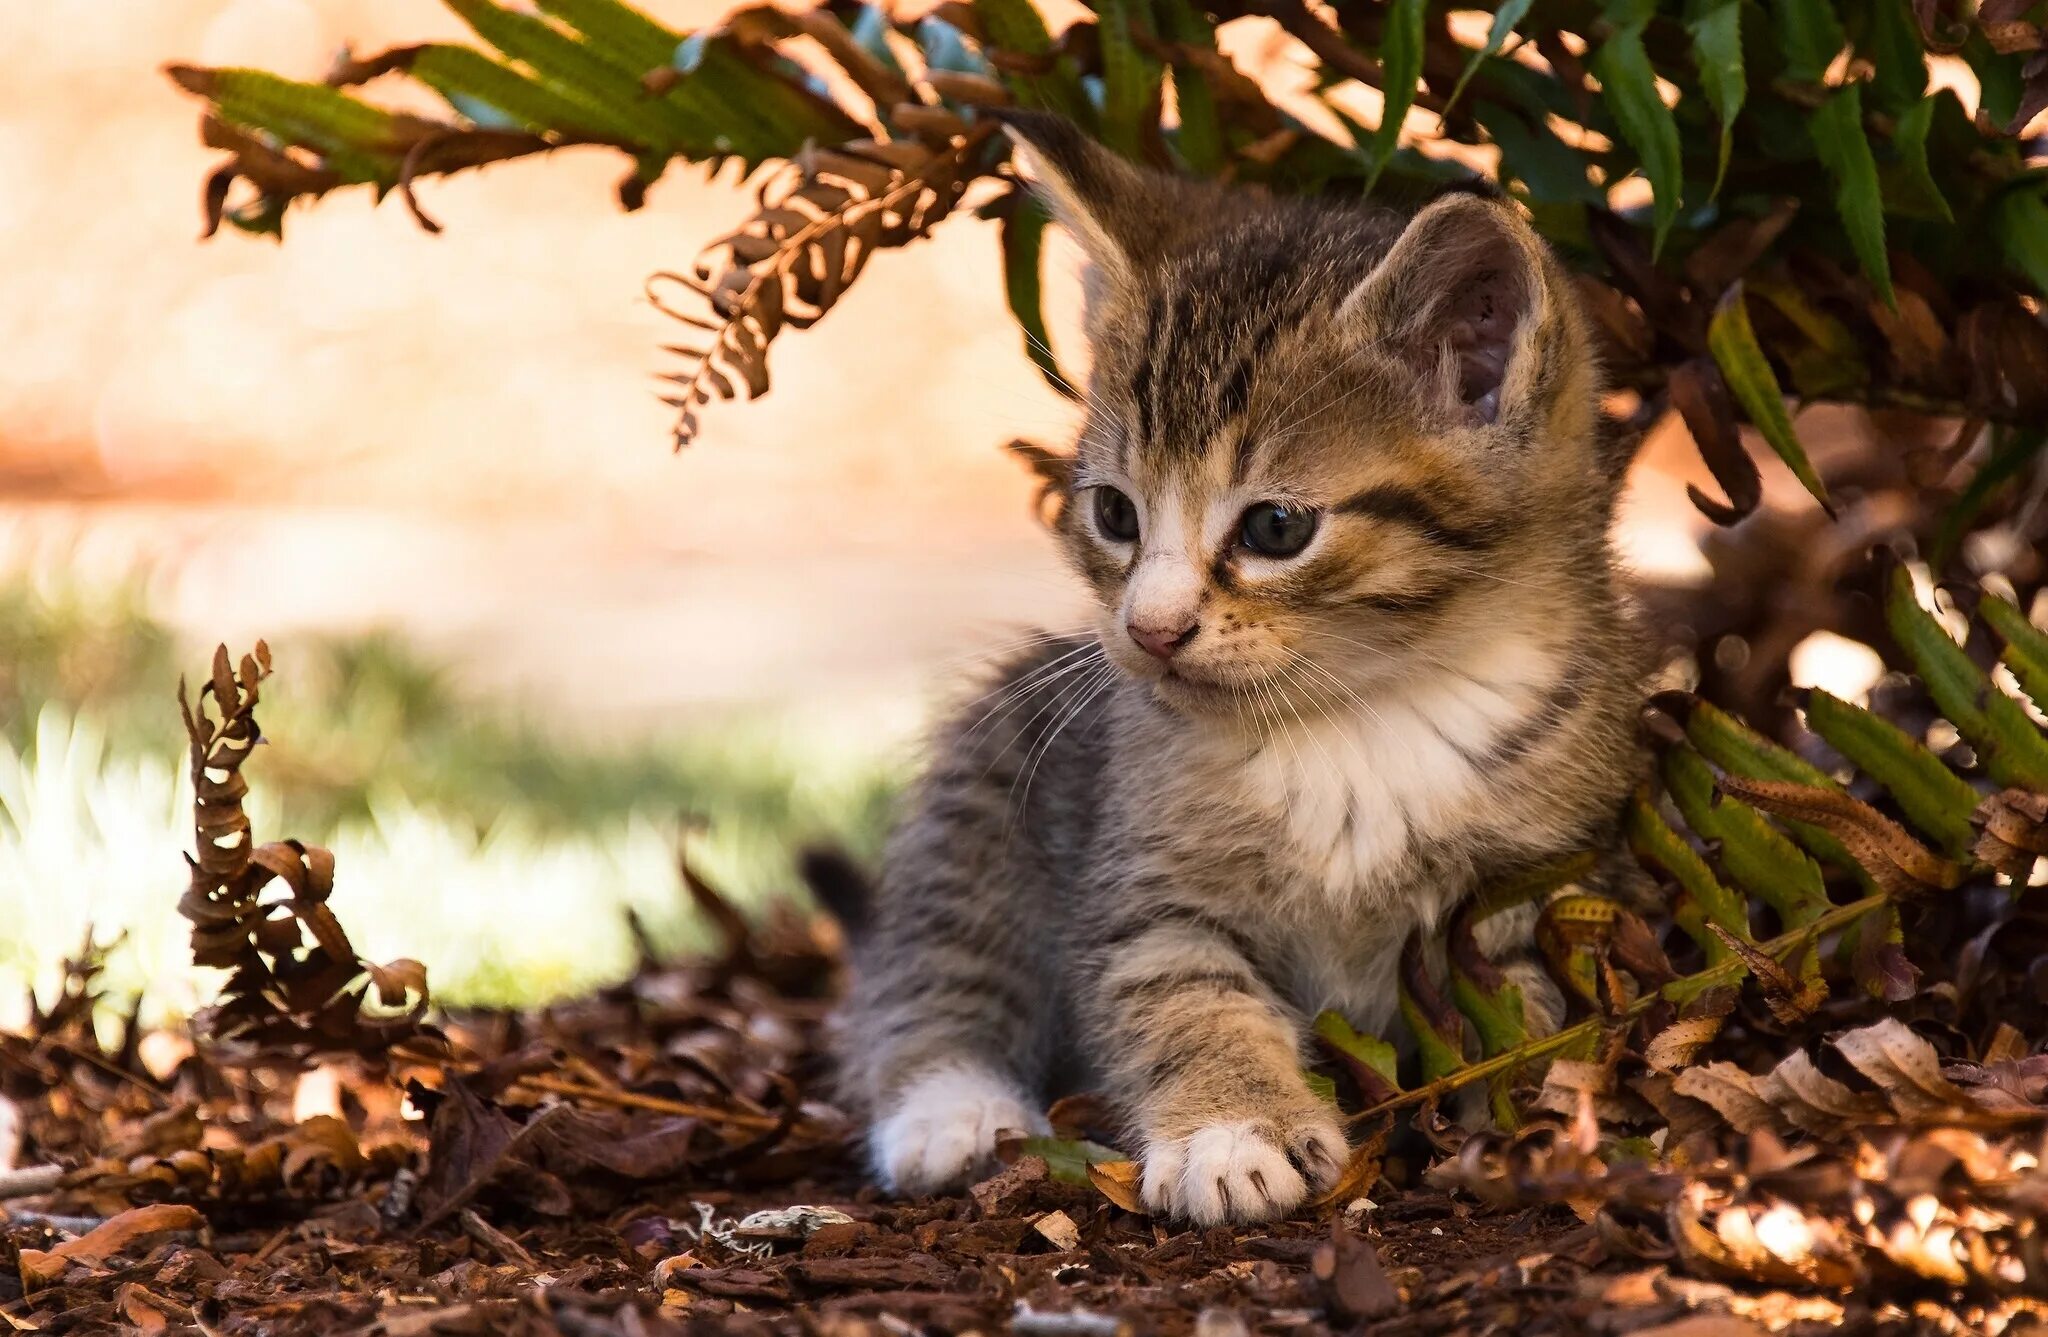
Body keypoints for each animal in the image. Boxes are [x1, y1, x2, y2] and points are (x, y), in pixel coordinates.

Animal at [831, 112, 1646, 1220]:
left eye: (1274, 527)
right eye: (1114, 513)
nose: (1149, 628)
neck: (1361, 713)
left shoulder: (1542, 873)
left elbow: (1528, 997)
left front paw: (1541, 1107)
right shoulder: (1143, 886)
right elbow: (1179, 995)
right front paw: (1228, 1130)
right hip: (993, 777)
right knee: (934, 951)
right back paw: (951, 1108)